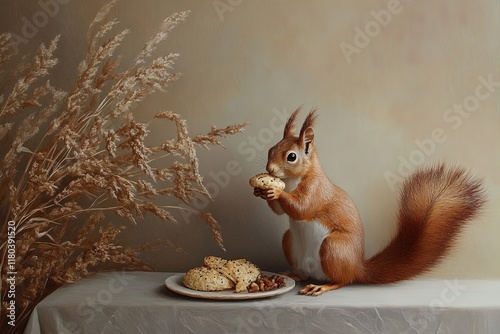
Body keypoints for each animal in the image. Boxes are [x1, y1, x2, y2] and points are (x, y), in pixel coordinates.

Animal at [254, 106, 484, 294]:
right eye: (271, 149)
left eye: (291, 156)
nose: (269, 170)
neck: (293, 181)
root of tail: (358, 267)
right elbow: (281, 211)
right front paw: (262, 192)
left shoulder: (316, 190)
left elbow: (302, 209)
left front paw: (276, 192)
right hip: (289, 241)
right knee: (304, 272)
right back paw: (293, 275)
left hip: (334, 248)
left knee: (342, 280)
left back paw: (322, 286)